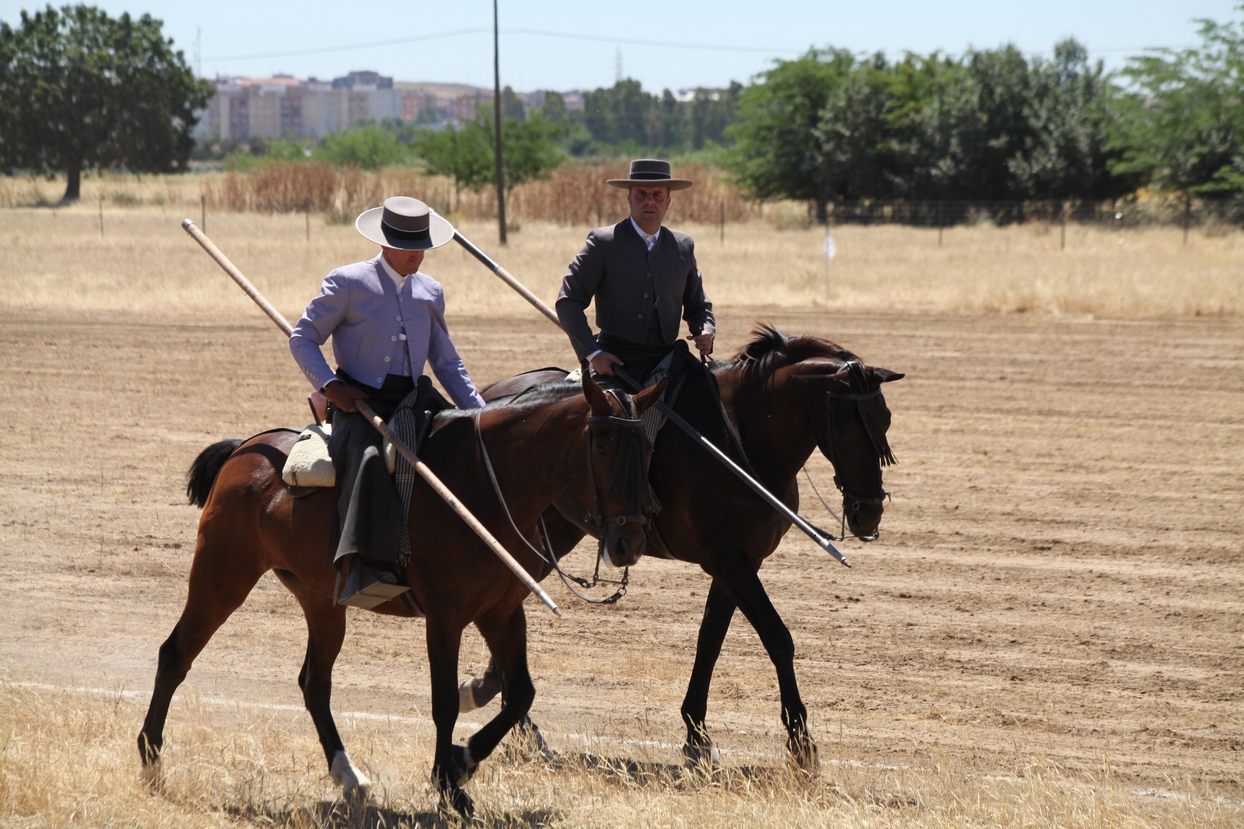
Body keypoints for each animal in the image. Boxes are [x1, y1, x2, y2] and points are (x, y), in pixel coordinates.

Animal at [136, 373, 666, 811]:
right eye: (602, 445)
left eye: (648, 445)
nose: (630, 541)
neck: (483, 485)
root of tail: (246, 448)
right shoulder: (446, 617)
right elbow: (445, 702)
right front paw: (450, 785)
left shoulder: (501, 611)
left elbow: (521, 694)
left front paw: (462, 761)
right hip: (222, 576)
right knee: (175, 654)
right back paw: (150, 760)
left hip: (321, 601)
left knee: (314, 683)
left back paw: (349, 777)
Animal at [467, 323, 905, 766]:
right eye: (848, 424)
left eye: (885, 419)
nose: (869, 513)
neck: (739, 435)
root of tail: (488, 397)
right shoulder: (727, 560)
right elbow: (777, 637)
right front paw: (801, 744)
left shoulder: (740, 561)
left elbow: (710, 639)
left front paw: (697, 735)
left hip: (554, 535)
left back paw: (501, 699)